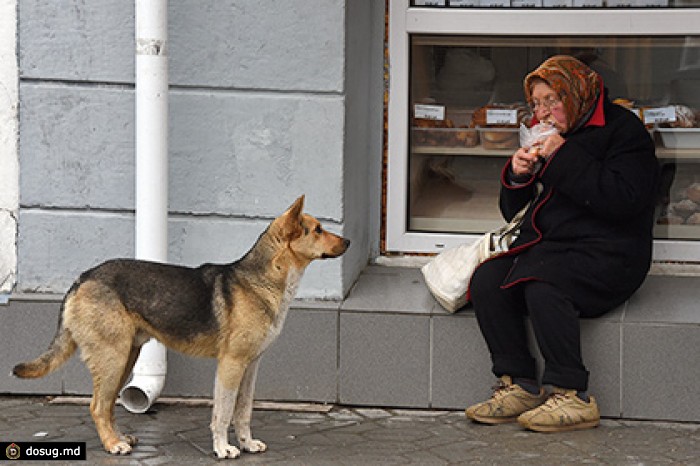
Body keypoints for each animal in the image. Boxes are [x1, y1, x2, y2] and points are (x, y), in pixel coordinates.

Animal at [12, 196, 348, 458]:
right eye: (318, 229)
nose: (349, 242)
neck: (262, 280)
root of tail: (82, 278)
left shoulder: (251, 366)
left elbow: (243, 411)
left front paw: (247, 444)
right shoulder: (231, 365)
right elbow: (223, 412)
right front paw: (223, 449)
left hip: (126, 358)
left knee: (108, 407)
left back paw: (120, 439)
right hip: (113, 358)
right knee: (97, 406)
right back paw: (112, 445)